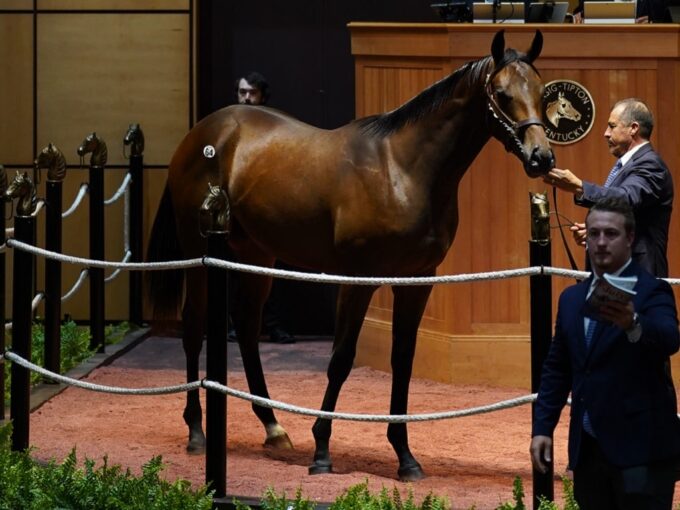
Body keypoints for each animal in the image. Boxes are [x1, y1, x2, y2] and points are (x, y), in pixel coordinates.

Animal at [147, 29, 552, 480]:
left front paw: (405, 456)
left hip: (258, 256)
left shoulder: (417, 281)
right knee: (193, 327)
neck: (404, 171)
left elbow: (403, 361)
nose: (541, 157)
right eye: (501, 94)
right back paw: (197, 431)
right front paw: (322, 450)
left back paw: (273, 427)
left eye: (542, 92)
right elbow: (340, 358)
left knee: (248, 330)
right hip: (199, 254)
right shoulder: (357, 280)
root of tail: (203, 131)